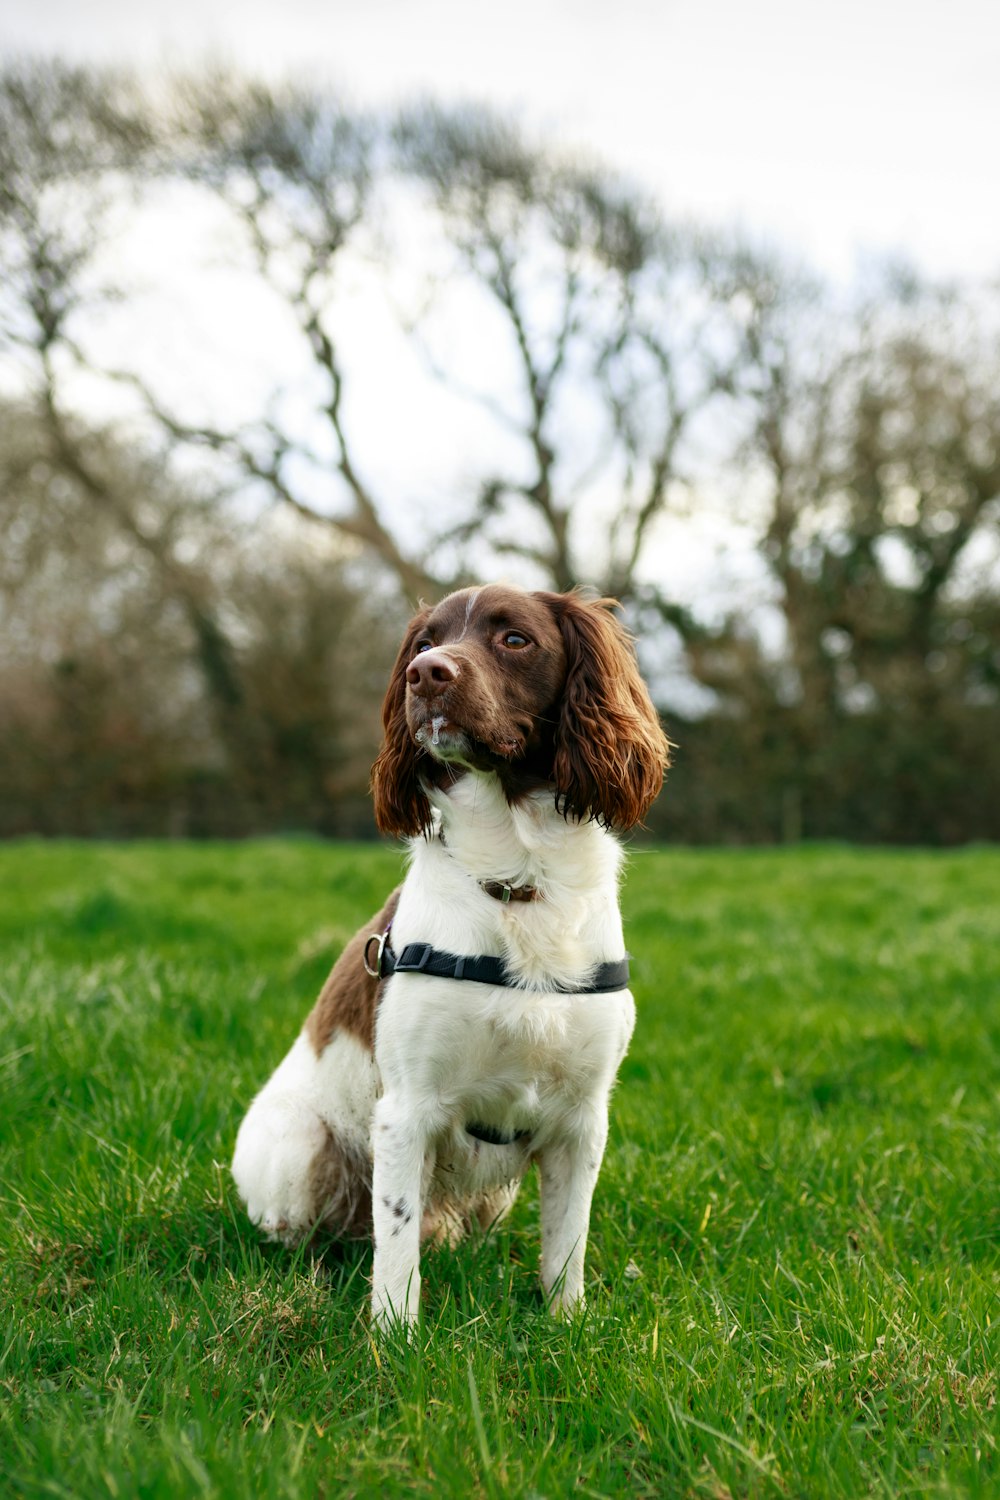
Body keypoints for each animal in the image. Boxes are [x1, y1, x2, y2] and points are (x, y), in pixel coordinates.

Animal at [232, 579, 671, 1332]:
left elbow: (567, 1246)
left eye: (514, 638)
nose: (426, 674)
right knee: (323, 1234)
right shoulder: (406, 1110)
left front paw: (565, 1327)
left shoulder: (583, 1119)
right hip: (299, 1150)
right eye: (424, 641)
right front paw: (395, 1338)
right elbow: (396, 1248)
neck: (519, 885)